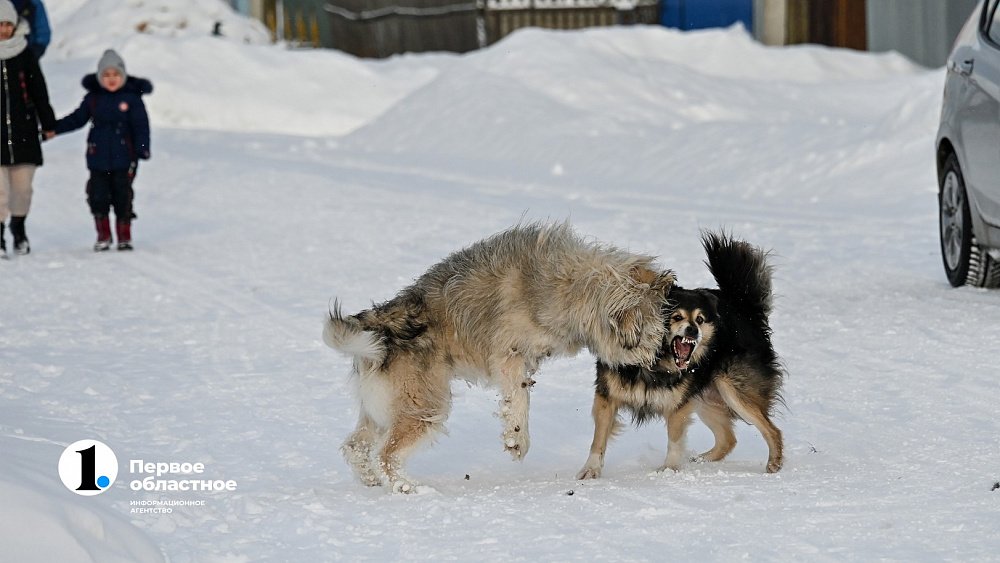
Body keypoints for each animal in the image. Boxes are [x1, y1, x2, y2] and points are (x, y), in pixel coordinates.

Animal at [326, 223, 672, 492]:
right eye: (649, 336)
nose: (660, 360)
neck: (568, 284)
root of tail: (382, 323)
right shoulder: (509, 355)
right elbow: (519, 398)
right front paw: (517, 439)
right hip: (424, 406)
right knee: (387, 455)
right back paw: (408, 489)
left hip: (381, 410)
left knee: (355, 447)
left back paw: (371, 480)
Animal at [580, 231, 780, 478]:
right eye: (676, 317)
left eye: (700, 320)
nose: (693, 330)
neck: (654, 363)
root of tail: (746, 310)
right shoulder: (607, 395)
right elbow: (598, 438)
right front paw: (590, 470)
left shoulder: (678, 404)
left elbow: (675, 439)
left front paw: (670, 469)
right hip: (706, 396)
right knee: (728, 439)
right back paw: (701, 460)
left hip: (733, 389)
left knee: (771, 429)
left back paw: (774, 463)